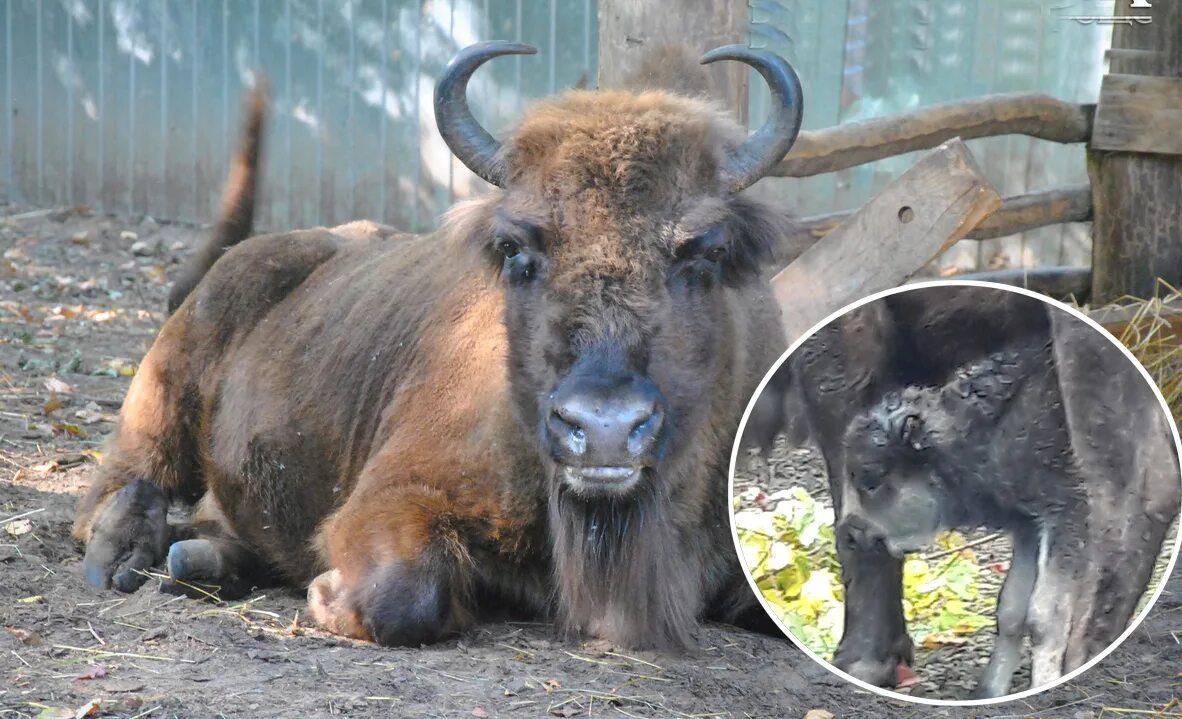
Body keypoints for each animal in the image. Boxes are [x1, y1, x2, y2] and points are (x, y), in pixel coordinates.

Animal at [76, 41, 803, 648]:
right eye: (515, 249)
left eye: (704, 251)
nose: (604, 430)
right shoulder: (394, 494)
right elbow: (403, 592)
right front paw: (325, 591)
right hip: (164, 397)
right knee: (115, 490)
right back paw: (124, 554)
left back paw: (198, 559)